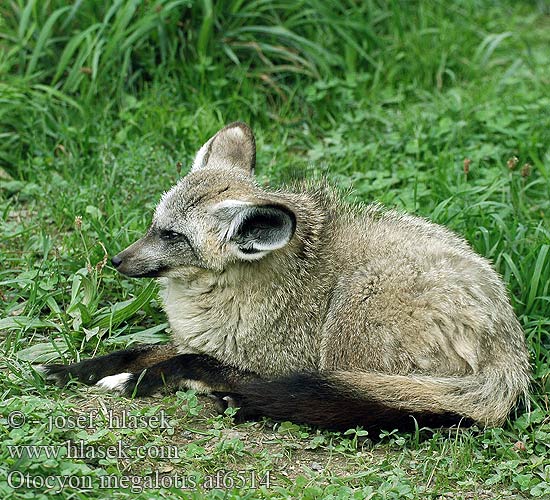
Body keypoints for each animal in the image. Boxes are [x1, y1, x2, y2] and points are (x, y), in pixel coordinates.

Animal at [37, 123, 532, 432]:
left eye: (172, 236)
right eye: (152, 225)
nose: (117, 261)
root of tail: (513, 354)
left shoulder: (271, 363)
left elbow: (187, 363)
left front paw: (134, 383)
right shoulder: (192, 339)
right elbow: (133, 351)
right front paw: (73, 369)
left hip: (350, 318)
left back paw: (246, 404)